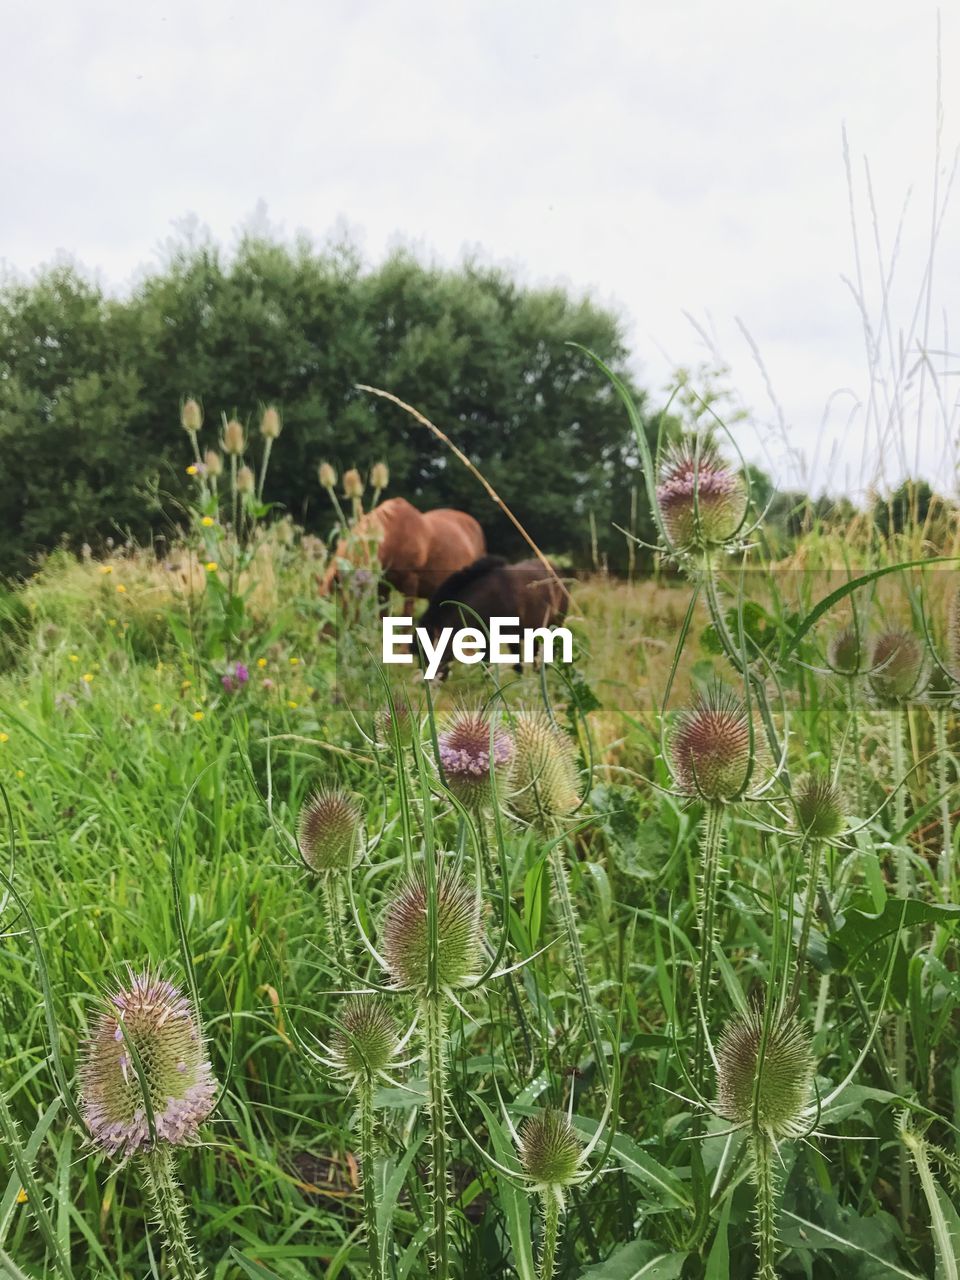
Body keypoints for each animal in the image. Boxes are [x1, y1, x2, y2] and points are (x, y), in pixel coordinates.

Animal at [419, 558, 570, 680]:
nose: (429, 682)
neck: (489, 600)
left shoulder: (512, 637)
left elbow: (517, 665)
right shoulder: (486, 639)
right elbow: (487, 666)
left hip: (556, 624)